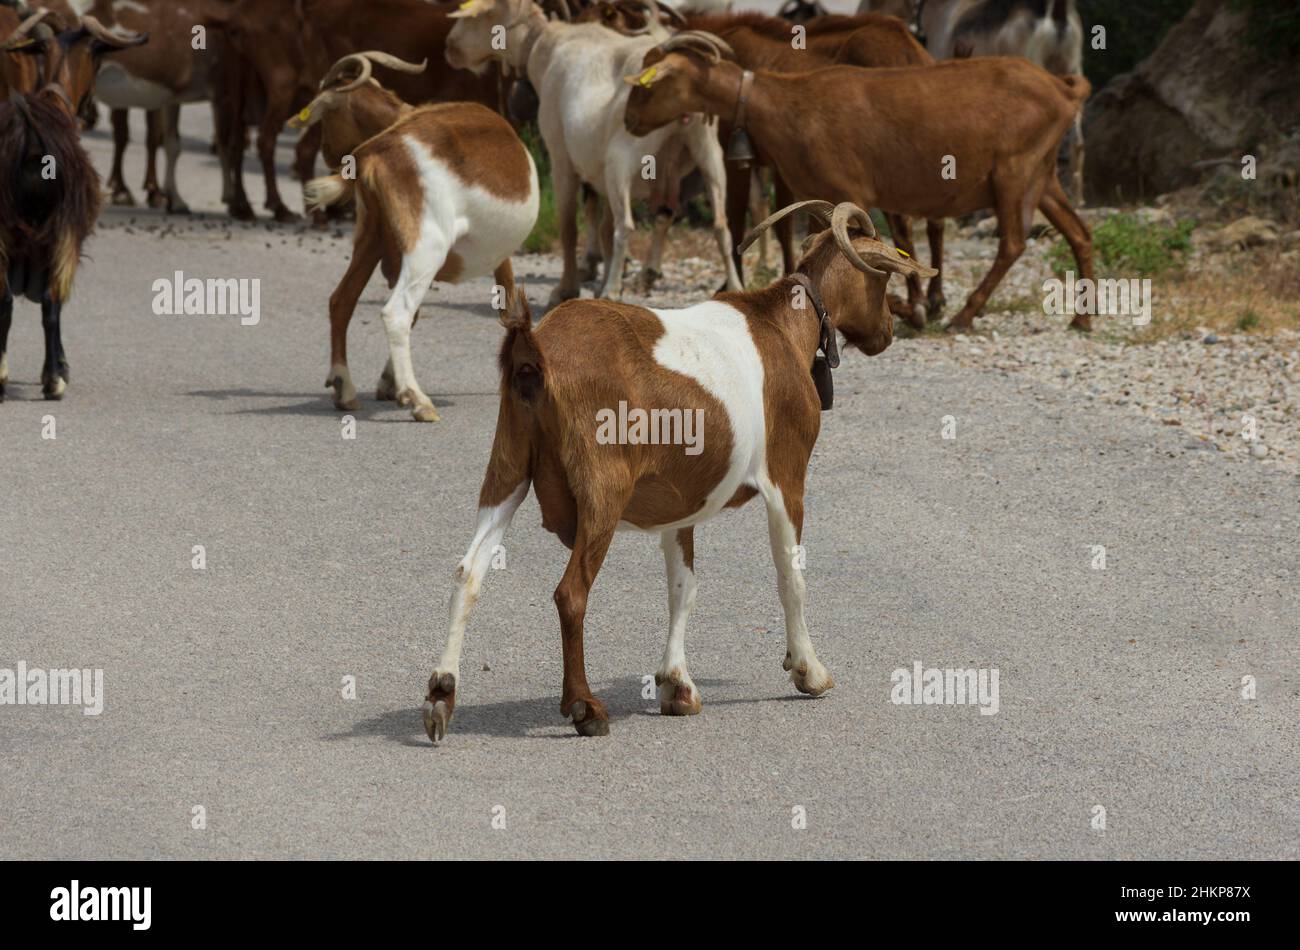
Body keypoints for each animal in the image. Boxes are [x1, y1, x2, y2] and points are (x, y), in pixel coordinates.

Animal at [0, 15, 146, 403]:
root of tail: (31, 138)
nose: (92, 113)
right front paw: (60, 368)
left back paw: (2, 376)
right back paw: (53, 380)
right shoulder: (70, 238)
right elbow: (56, 302)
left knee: (4, 300)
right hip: (60, 231)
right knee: (50, 301)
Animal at [302, 75, 539, 422]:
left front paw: (388, 383)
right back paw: (418, 401)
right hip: (427, 247)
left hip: (371, 242)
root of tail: (377, 149)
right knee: (396, 313)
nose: (328, 154)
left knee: (342, 300)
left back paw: (344, 388)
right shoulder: (500, 256)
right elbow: (511, 311)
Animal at [421, 199, 932, 742]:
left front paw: (677, 686)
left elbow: (683, 587)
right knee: (570, 593)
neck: (781, 327)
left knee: (468, 572)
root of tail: (532, 352)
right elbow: (789, 575)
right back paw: (584, 707)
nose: (887, 332)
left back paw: (441, 694)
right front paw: (809, 671)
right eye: (883, 279)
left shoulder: (682, 497)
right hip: (603, 489)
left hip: (507, 467)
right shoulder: (786, 475)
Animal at [447, 0, 742, 306]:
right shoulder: (600, 171)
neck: (547, 46)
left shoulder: (561, 156)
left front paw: (567, 289)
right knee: (721, 225)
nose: (450, 47)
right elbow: (604, 228)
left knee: (626, 226)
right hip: (707, 152)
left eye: (482, 13)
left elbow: (570, 226)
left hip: (623, 156)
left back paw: (612, 291)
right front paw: (598, 283)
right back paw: (734, 288)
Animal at [624, 33, 1094, 330]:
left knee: (1013, 242)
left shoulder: (849, 188)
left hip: (1016, 170)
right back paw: (1082, 318)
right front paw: (910, 307)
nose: (628, 120)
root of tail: (1064, 89)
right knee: (1079, 232)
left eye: (649, 82)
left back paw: (964, 315)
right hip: (1043, 174)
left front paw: (911, 308)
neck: (785, 106)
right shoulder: (821, 196)